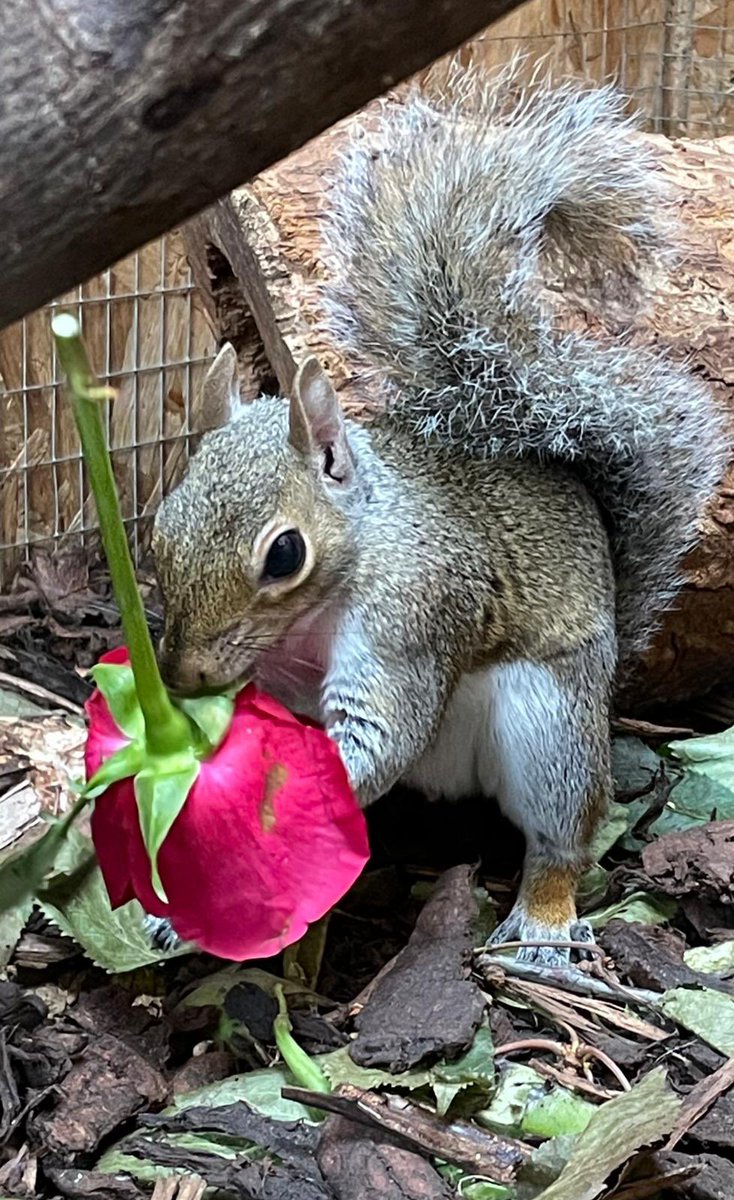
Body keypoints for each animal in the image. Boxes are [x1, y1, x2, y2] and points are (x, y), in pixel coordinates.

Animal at [150, 65, 728, 966]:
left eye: (284, 556)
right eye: (158, 531)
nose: (182, 676)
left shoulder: (415, 617)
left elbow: (377, 736)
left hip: (552, 727)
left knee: (562, 835)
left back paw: (544, 924)